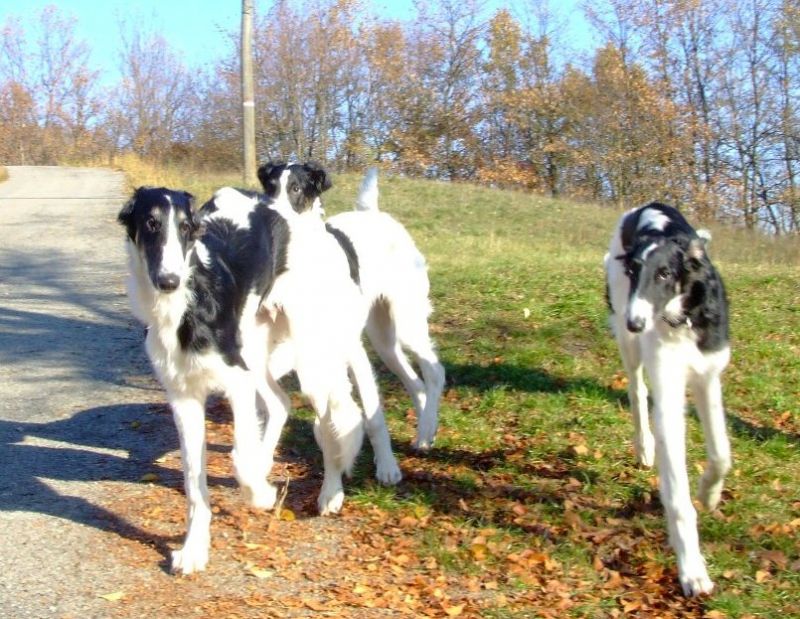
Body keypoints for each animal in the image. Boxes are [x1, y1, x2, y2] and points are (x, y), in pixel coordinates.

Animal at [119, 185, 372, 576]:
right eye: (150, 224)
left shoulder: (235, 381)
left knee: (333, 423)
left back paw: (331, 494)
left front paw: (262, 495)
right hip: (256, 352)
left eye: (186, 228)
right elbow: (194, 481)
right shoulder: (184, 396)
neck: (187, 301)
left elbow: (239, 458)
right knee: (282, 404)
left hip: (309, 361)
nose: (168, 281)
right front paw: (194, 550)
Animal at [258, 160, 446, 450]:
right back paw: (426, 429)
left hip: (407, 323)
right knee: (416, 383)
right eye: (269, 187)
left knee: (435, 372)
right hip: (383, 339)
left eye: (296, 188)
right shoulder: (296, 344)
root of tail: (375, 214)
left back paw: (426, 432)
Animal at [608, 202, 732, 596]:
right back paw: (644, 447)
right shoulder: (669, 395)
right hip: (629, 343)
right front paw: (692, 572)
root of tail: (646, 206)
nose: (635, 322)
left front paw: (709, 493)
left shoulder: (708, 375)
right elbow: (678, 500)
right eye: (634, 270)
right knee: (636, 390)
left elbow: (721, 453)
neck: (682, 319)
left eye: (664, 273)